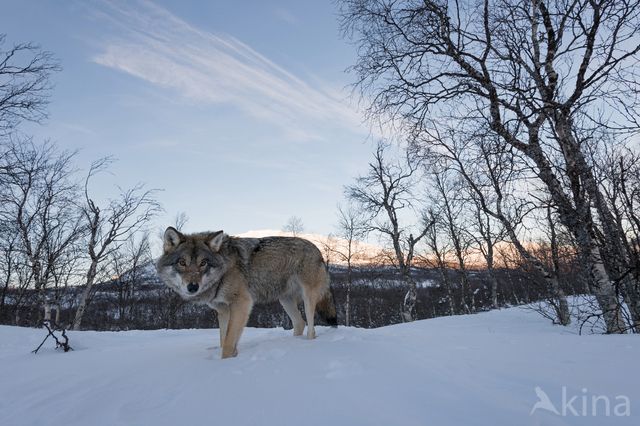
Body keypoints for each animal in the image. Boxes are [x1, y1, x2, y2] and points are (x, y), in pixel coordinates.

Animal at [156, 228, 338, 358]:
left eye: (203, 263)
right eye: (182, 263)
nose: (193, 287)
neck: (224, 268)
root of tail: (318, 250)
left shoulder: (241, 304)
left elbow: (228, 343)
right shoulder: (223, 311)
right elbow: (223, 340)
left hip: (308, 298)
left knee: (311, 328)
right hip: (285, 301)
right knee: (300, 323)